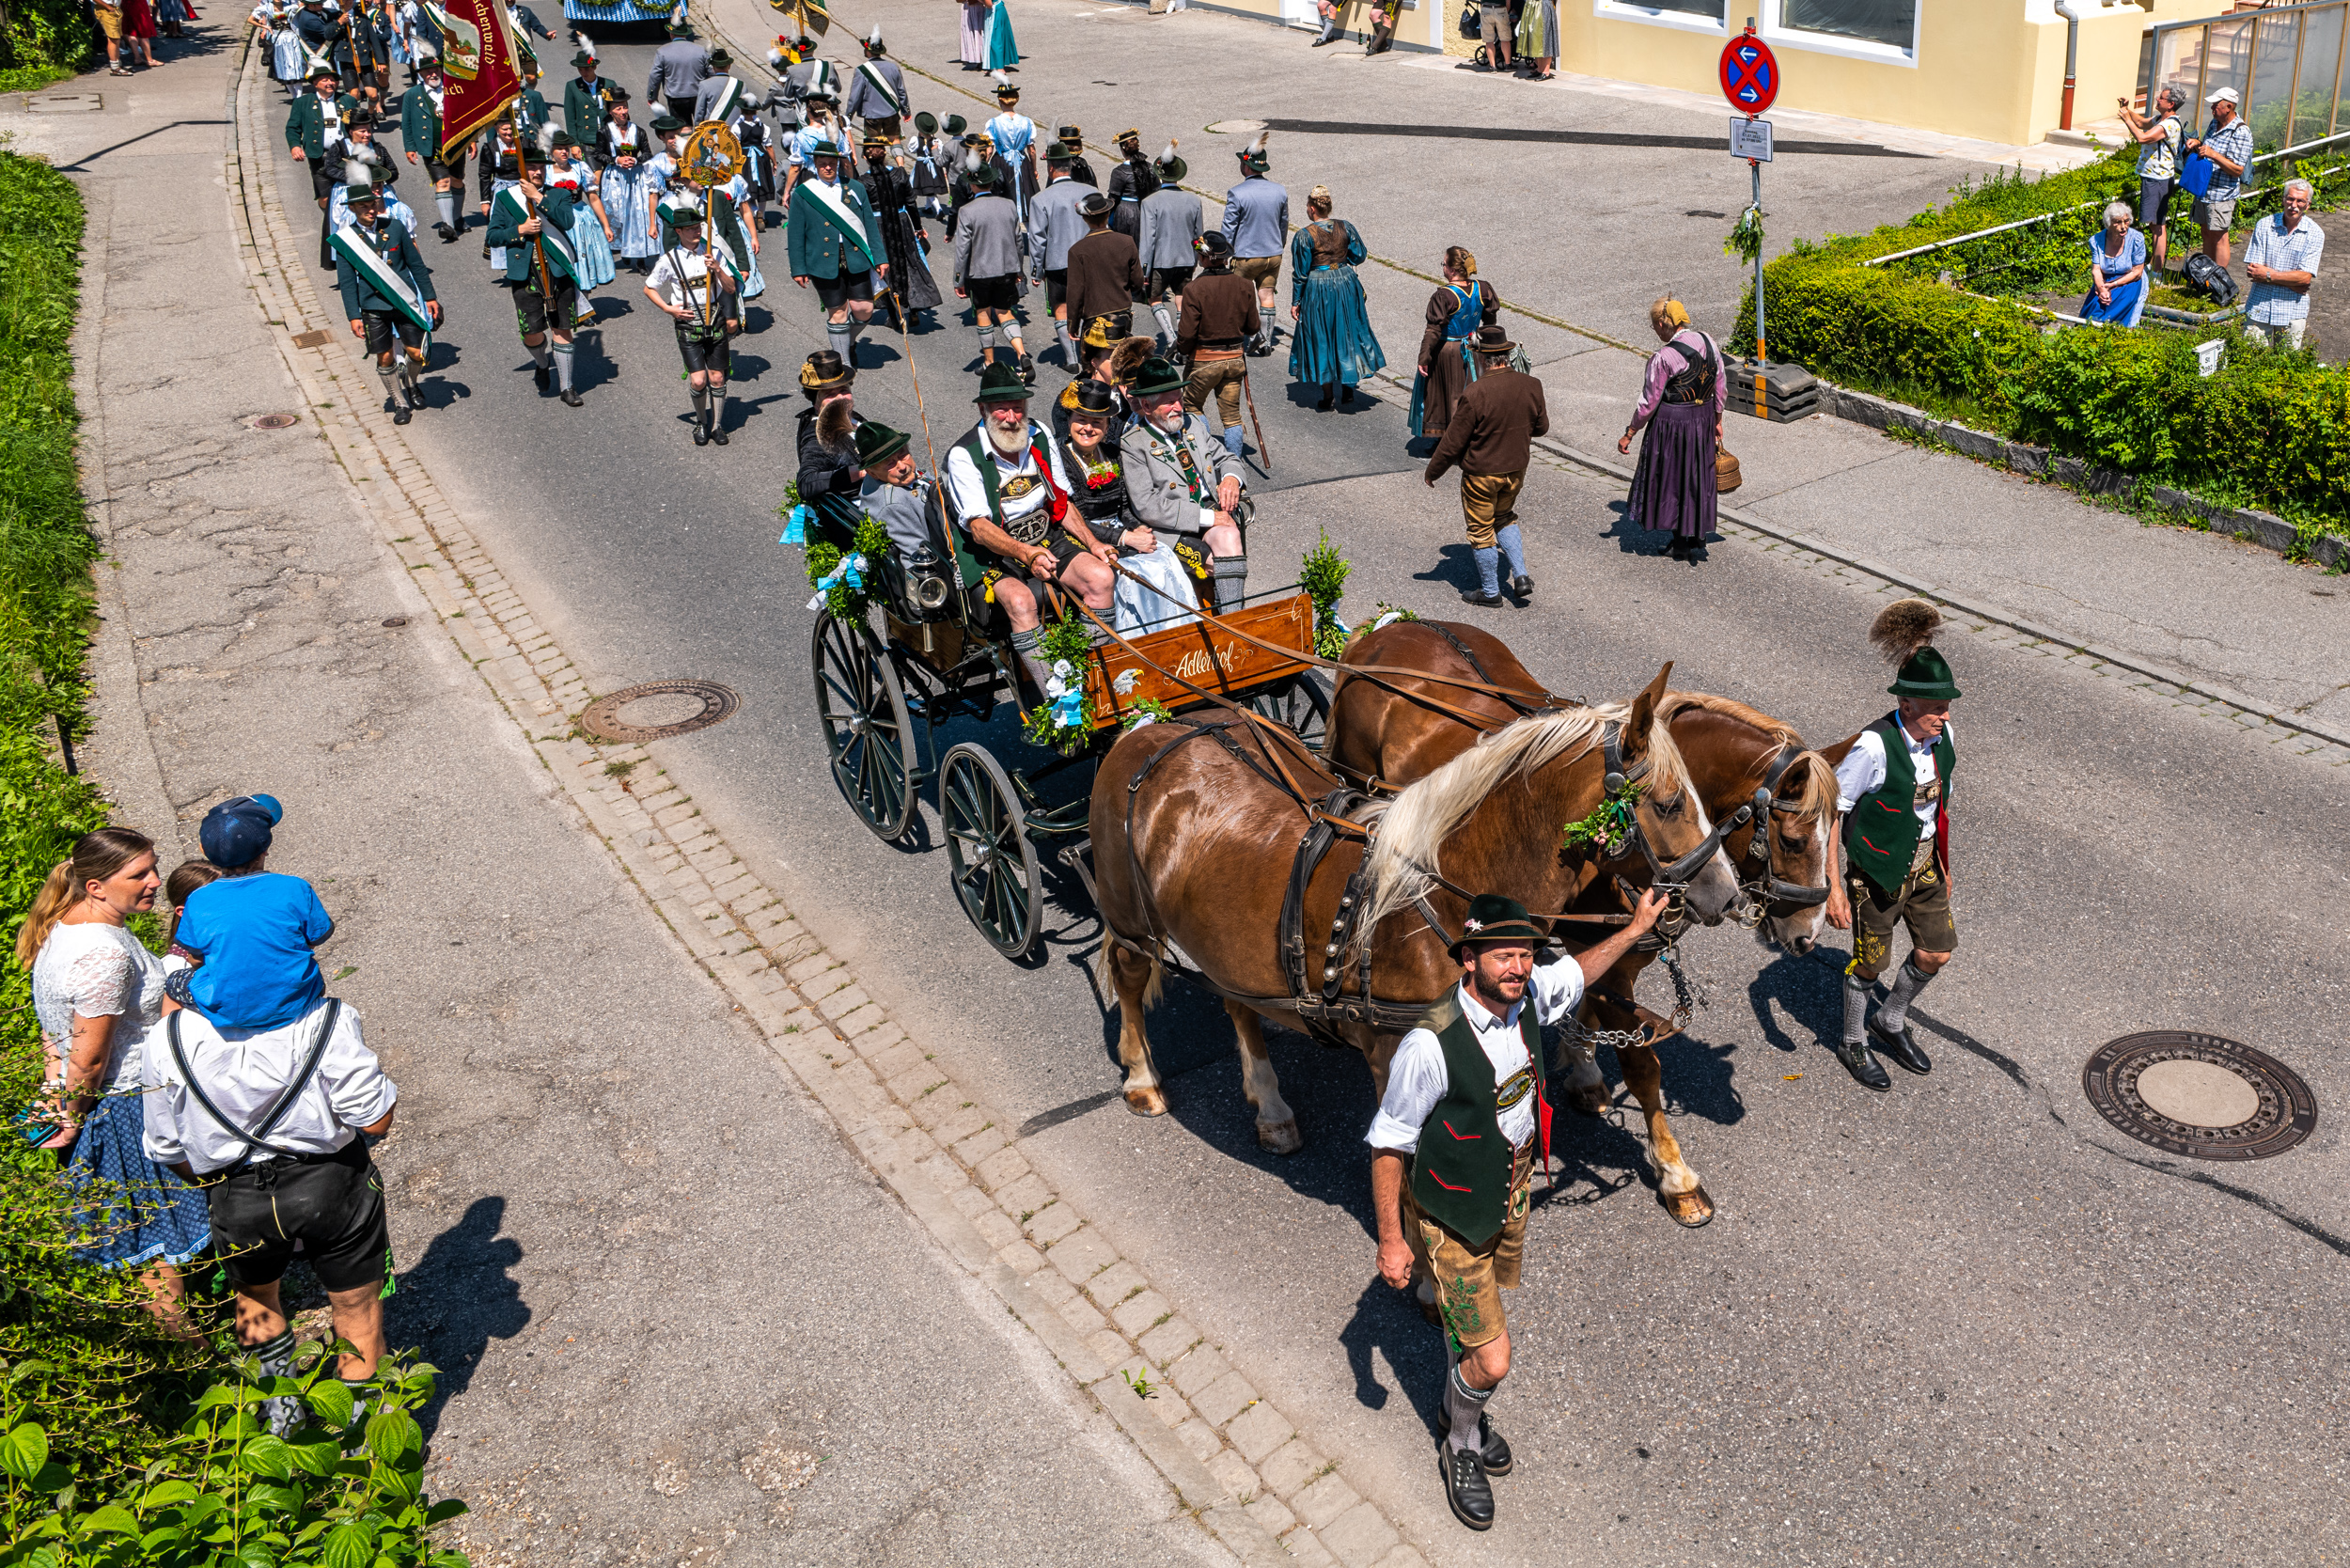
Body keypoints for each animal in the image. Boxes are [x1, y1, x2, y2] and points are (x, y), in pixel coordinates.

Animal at [1087, 664, 1744, 1154]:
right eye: (1667, 804)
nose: (1726, 893)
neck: (1442, 900)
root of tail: (1151, 730)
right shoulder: (1393, 1058)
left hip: (1228, 943)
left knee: (1238, 1004)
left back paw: (1270, 1107)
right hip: (1128, 918)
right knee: (1128, 972)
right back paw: (1141, 1075)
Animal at [1326, 620, 1843, 1226]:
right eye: (1793, 840)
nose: (1808, 933)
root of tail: (1386, 630)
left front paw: (1584, 1065)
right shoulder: (1605, 962)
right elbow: (1641, 1064)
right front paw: (1675, 1174)